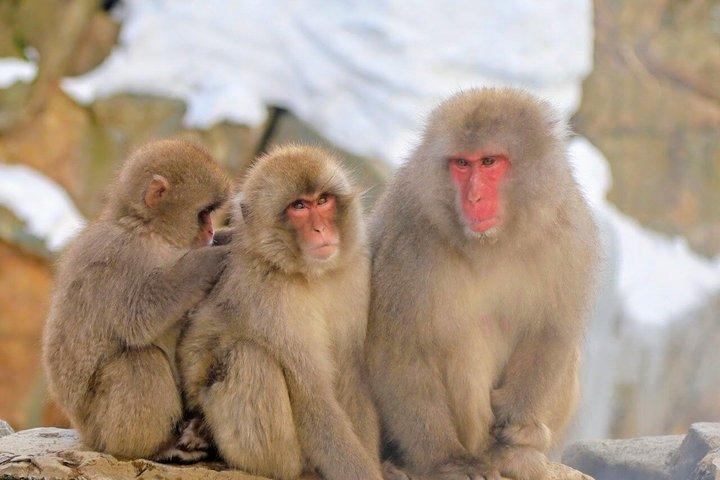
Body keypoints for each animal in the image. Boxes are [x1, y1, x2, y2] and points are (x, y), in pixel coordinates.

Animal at [43, 139, 231, 461]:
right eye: (204, 212)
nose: (210, 231)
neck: (149, 229)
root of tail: (84, 432)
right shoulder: (120, 256)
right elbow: (139, 317)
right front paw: (208, 260)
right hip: (100, 428)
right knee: (139, 361)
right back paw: (156, 447)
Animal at [178, 145, 385, 480]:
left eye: (322, 200)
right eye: (299, 206)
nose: (321, 229)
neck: (309, 275)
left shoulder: (354, 275)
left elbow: (352, 376)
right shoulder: (272, 299)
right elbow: (313, 397)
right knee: (249, 356)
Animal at [366, 88, 599, 480]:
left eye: (489, 162)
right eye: (462, 164)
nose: (474, 198)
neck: (493, 243)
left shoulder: (568, 233)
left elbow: (550, 331)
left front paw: (518, 429)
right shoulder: (408, 240)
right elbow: (400, 350)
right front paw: (447, 460)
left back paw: (524, 450)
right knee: (462, 343)